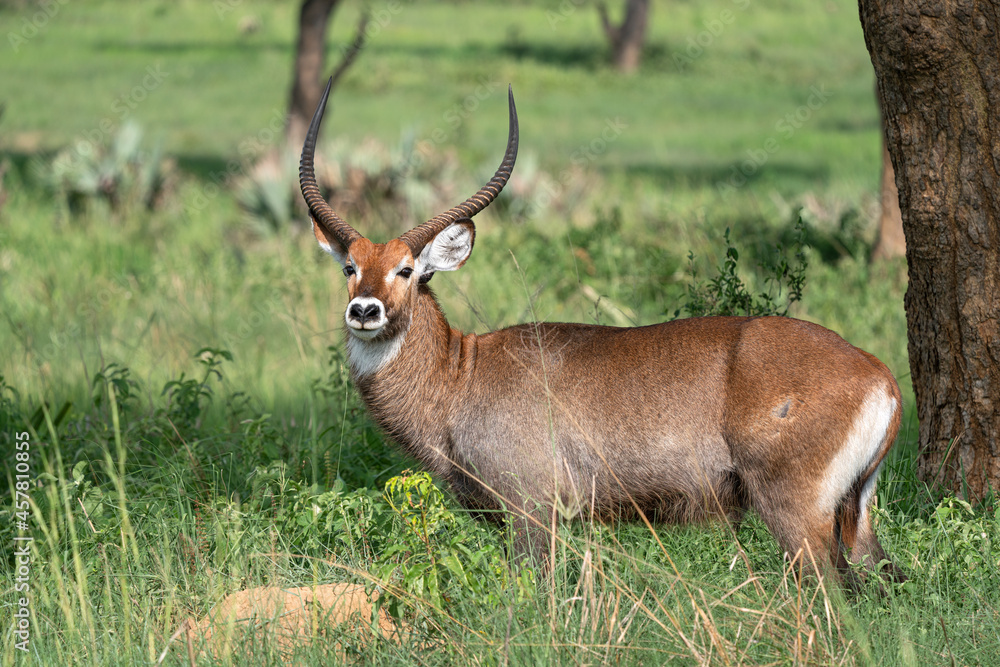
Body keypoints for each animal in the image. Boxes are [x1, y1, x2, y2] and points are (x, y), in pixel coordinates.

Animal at [298, 81, 908, 588]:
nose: (365, 310)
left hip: (795, 512)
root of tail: (880, 374)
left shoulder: (532, 510)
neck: (459, 375)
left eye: (407, 269)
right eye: (350, 265)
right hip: (855, 517)